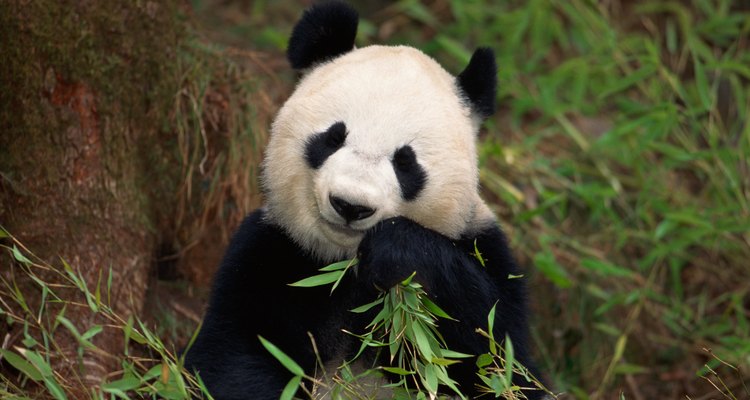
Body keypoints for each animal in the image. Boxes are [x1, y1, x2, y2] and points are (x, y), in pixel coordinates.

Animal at [184, 1, 548, 398]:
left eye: (405, 162)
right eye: (333, 137)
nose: (350, 204)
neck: (343, 265)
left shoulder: (484, 249)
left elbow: (497, 359)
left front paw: (398, 252)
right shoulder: (272, 253)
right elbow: (234, 355)